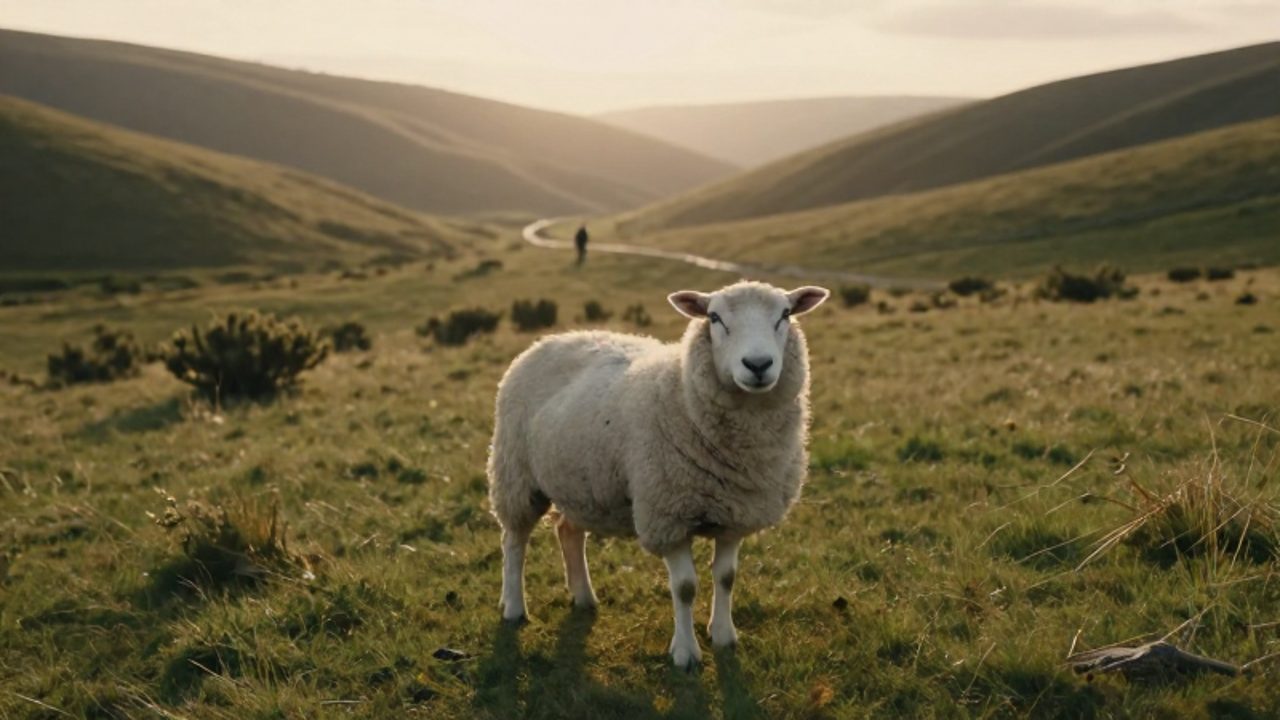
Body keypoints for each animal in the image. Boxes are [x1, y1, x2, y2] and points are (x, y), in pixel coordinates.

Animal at [487, 280, 829, 669]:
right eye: (714, 318)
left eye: (785, 315)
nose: (758, 365)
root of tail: (552, 338)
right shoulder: (668, 516)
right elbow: (685, 588)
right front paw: (685, 653)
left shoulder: (735, 514)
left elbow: (726, 577)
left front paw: (724, 636)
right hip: (516, 474)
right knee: (514, 541)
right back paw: (514, 607)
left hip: (581, 482)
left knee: (568, 531)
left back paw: (584, 597)